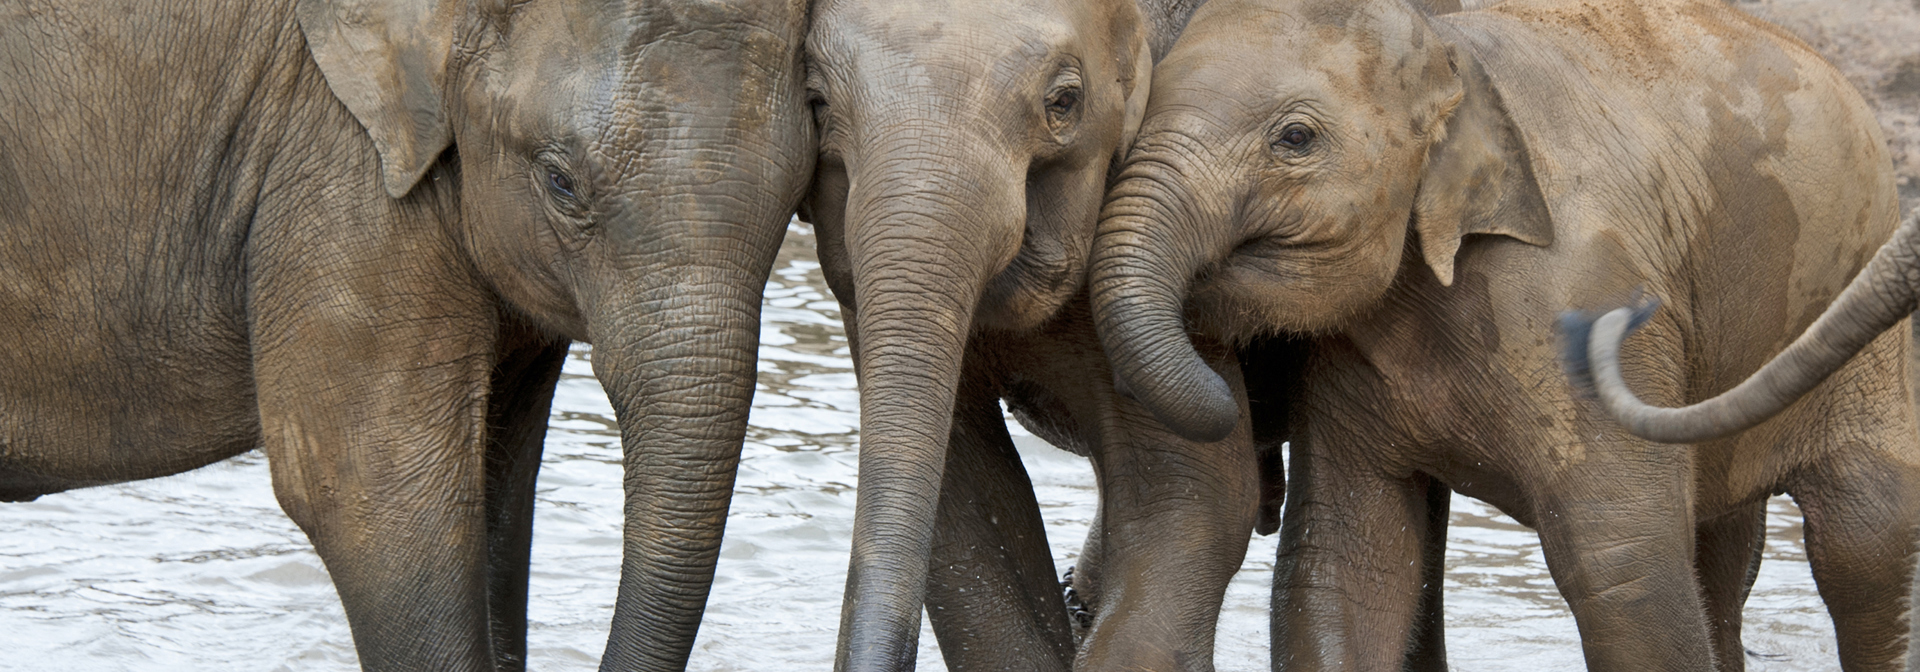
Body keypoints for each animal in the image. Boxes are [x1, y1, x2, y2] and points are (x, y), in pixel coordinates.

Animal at [1090, 0, 1912, 668]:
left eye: (1295, 138)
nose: (1240, 394)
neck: (1454, 58)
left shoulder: (1582, 295)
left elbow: (1622, 566)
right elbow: (1344, 564)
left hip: (1860, 325)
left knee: (1864, 540)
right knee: (1727, 551)